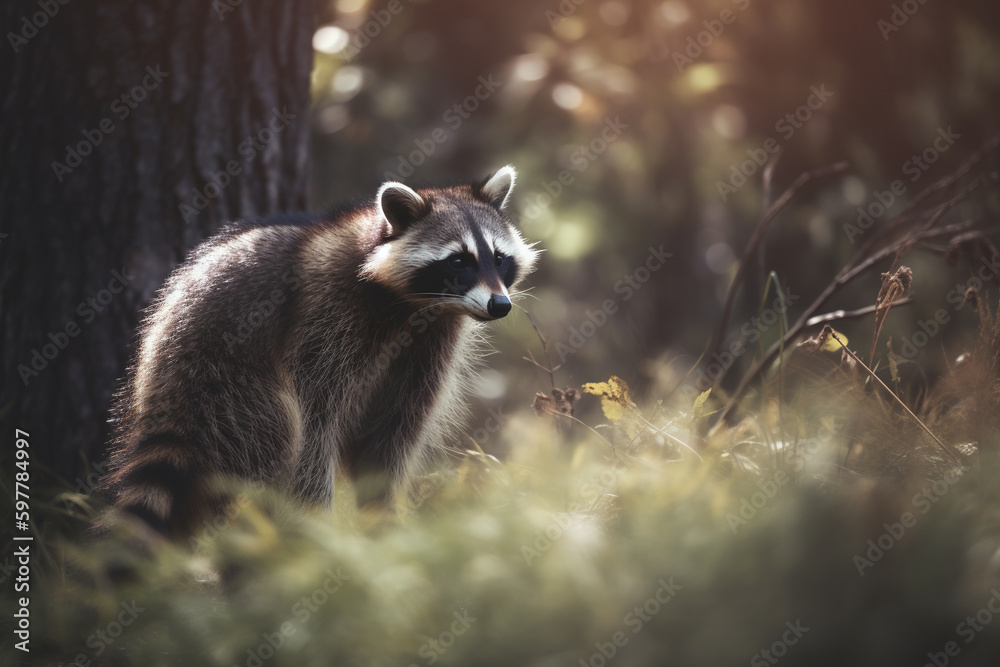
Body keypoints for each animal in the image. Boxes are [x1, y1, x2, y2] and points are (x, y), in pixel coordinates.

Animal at [102, 166, 538, 537]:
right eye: (459, 261)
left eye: (499, 258)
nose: (500, 305)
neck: (413, 304)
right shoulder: (325, 316)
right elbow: (315, 423)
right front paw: (318, 525)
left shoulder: (429, 344)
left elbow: (391, 430)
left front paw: (381, 515)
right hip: (226, 381)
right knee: (275, 438)